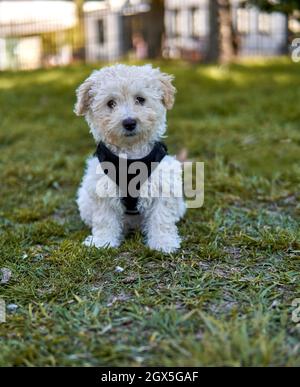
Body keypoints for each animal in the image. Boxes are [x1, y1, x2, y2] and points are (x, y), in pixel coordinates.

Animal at [75, 65, 185, 253]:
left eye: (140, 99)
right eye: (111, 103)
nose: (129, 122)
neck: (131, 154)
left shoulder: (162, 187)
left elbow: (161, 218)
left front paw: (163, 243)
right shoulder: (102, 190)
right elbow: (104, 220)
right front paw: (102, 242)